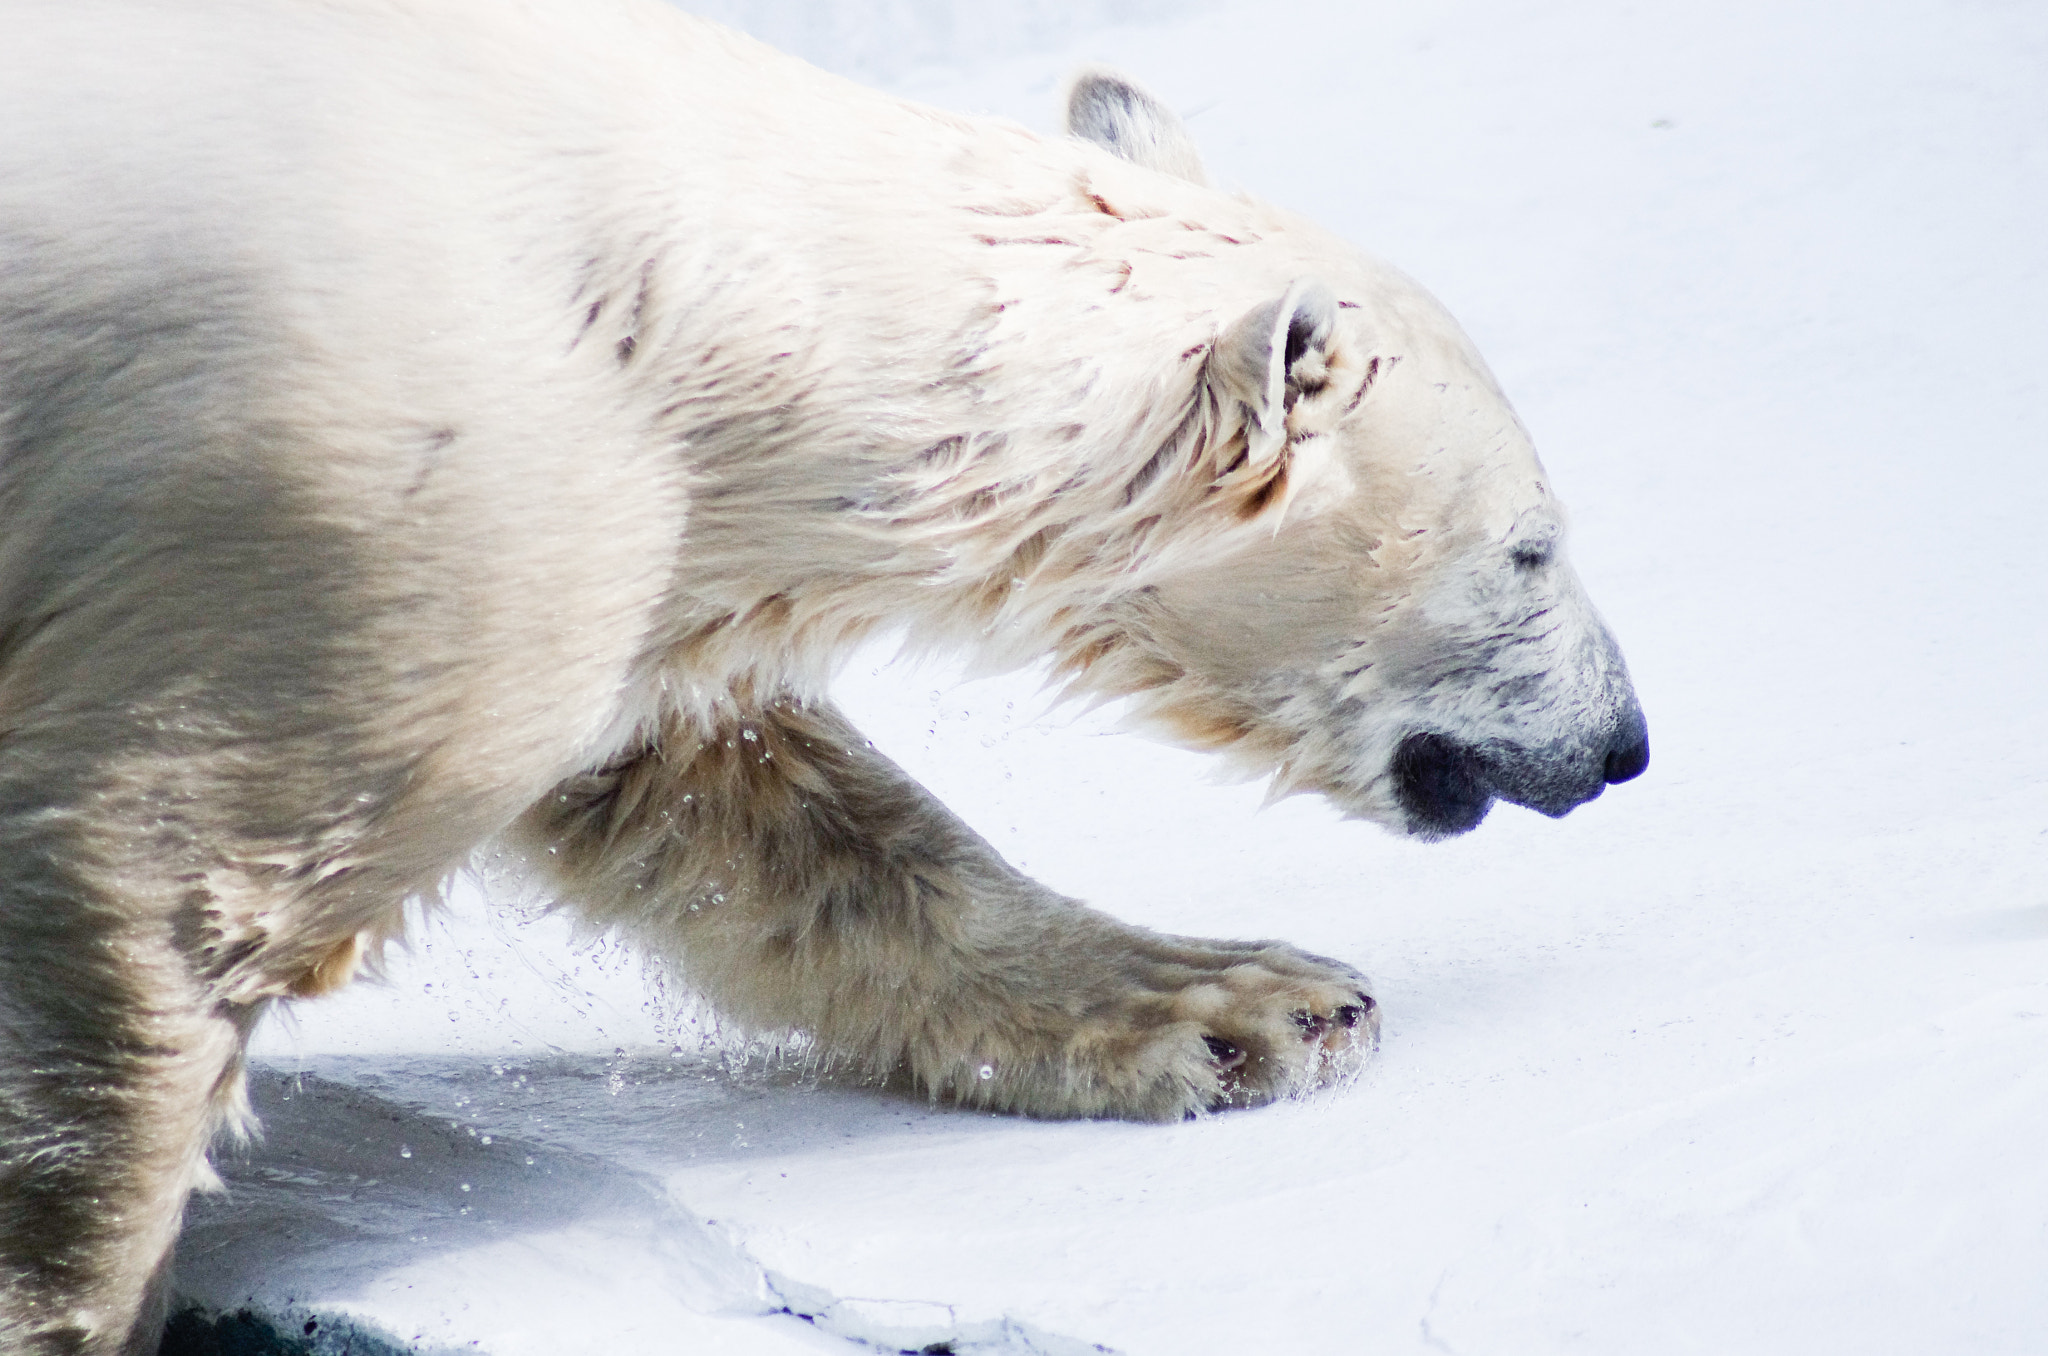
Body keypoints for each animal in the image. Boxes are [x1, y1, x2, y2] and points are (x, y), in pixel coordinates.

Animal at [0, 0, 1648, 1351]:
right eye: (1532, 549)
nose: (1623, 742)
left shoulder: (610, 517)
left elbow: (741, 808)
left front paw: (1245, 1006)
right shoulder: (361, 504)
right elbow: (168, 905)